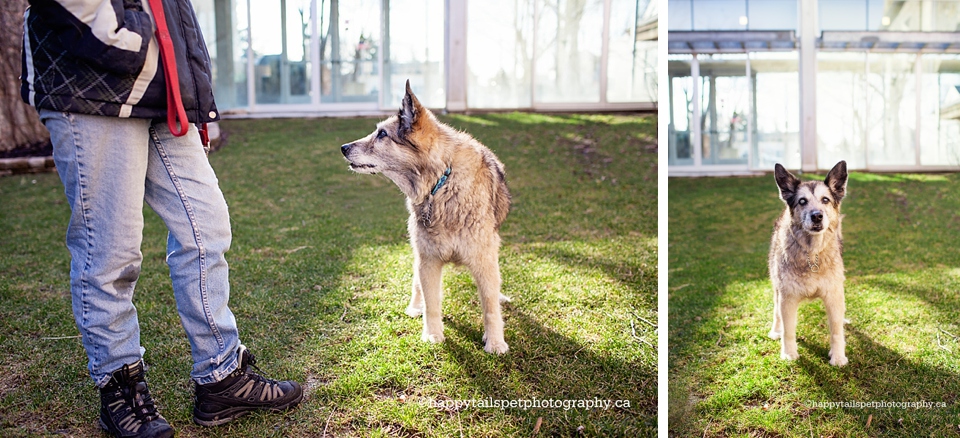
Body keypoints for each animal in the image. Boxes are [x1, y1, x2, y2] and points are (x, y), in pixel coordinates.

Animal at [342, 80, 512, 354]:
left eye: (382, 134)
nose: (343, 148)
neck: (440, 185)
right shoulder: (428, 260)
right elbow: (431, 302)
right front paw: (432, 334)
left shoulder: (484, 260)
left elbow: (489, 306)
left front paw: (495, 341)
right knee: (416, 282)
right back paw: (414, 307)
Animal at [768, 161, 852, 366]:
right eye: (802, 201)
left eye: (825, 200)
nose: (817, 216)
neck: (812, 254)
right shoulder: (787, 298)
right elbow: (788, 331)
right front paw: (789, 354)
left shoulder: (834, 296)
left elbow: (836, 331)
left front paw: (838, 356)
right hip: (776, 287)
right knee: (776, 312)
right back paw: (775, 330)